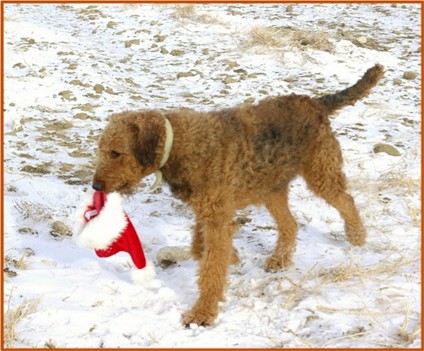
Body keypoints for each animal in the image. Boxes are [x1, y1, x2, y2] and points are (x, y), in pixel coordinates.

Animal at [93, 64, 384, 328]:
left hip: (320, 172)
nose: (96, 186)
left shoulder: (215, 215)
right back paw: (280, 259)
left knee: (345, 200)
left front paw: (202, 313)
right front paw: (230, 256)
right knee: (290, 224)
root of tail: (316, 102)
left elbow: (210, 265)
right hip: (272, 187)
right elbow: (200, 249)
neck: (179, 145)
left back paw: (357, 236)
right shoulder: (207, 210)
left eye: (116, 152)